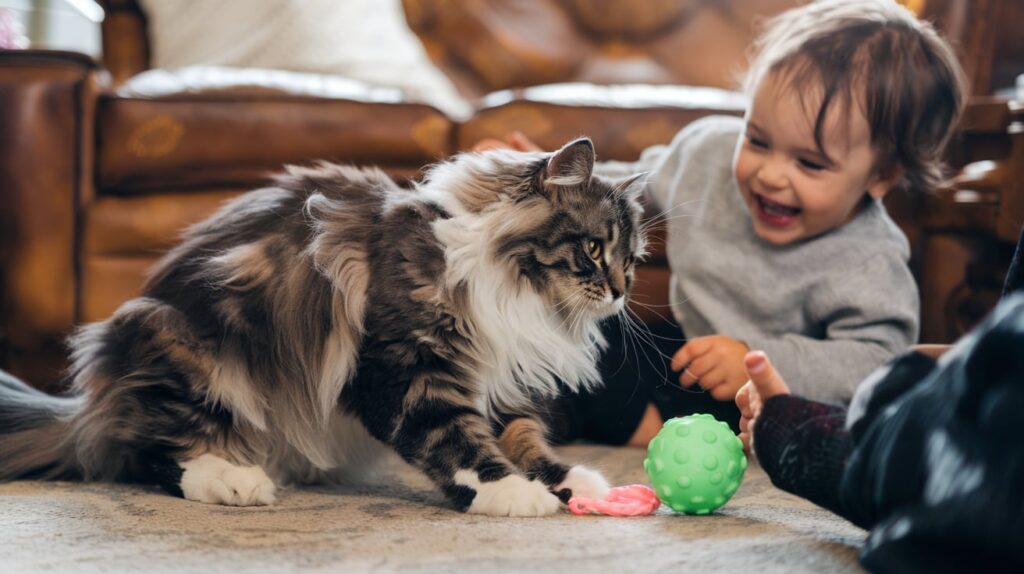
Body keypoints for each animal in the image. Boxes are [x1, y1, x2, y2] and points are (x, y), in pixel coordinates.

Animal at [0, 138, 643, 515]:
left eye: (632, 259)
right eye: (593, 249)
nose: (621, 291)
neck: (515, 293)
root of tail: (89, 407)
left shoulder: (498, 375)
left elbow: (523, 437)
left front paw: (570, 481)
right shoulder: (406, 369)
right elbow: (453, 439)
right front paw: (509, 491)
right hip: (181, 346)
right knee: (152, 454)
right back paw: (235, 481)